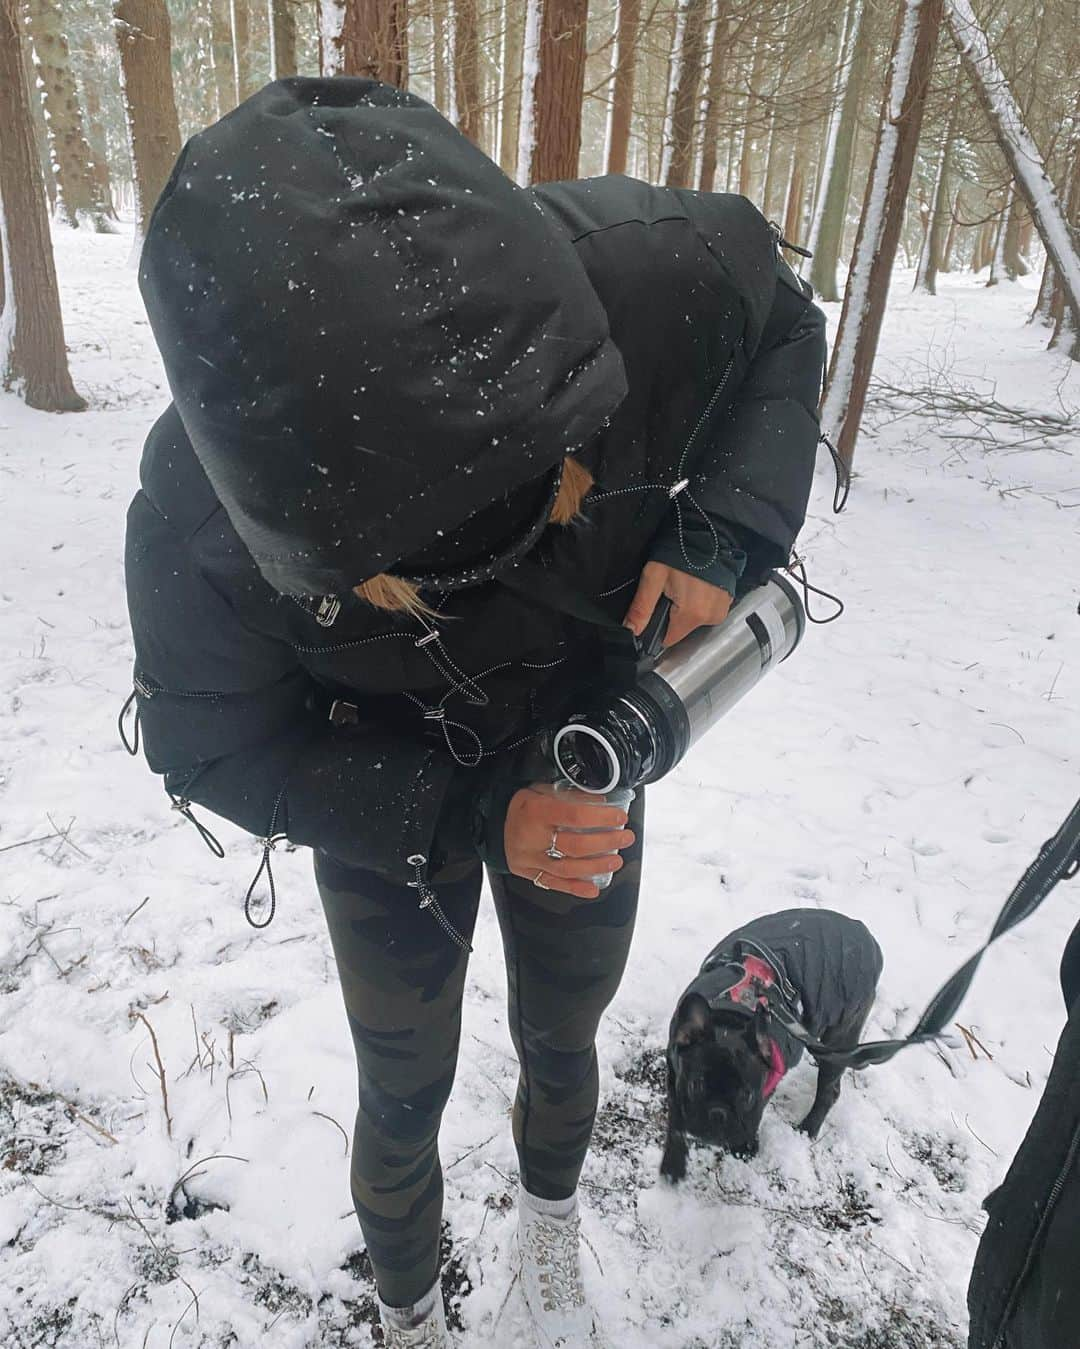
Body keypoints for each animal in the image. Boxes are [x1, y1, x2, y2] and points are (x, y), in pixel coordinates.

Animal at [657, 906, 884, 1181]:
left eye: (747, 1096)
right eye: (696, 1085)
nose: (718, 1114)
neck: (732, 1014)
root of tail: (864, 933)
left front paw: (745, 1147)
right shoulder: (674, 1071)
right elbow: (676, 1119)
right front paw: (673, 1164)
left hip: (840, 1033)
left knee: (828, 1089)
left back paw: (807, 1129)